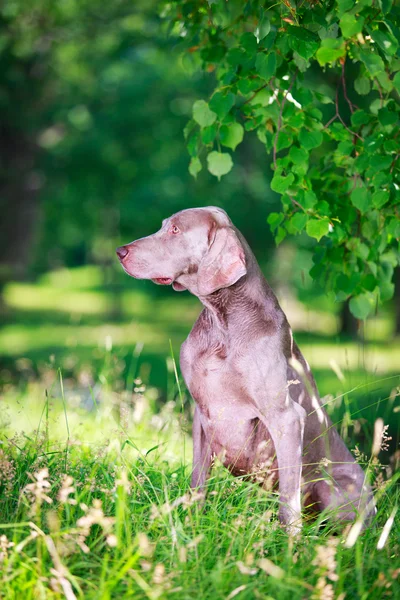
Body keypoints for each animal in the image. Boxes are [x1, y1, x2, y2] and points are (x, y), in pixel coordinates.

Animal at [117, 205, 374, 528]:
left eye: (175, 230)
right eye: (164, 226)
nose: (120, 251)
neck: (223, 322)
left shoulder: (287, 417)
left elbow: (288, 502)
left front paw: (289, 540)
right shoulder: (201, 413)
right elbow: (197, 482)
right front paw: (193, 525)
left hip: (334, 488)